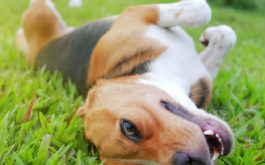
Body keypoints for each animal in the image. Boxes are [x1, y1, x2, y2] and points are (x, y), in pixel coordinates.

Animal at [16, 0, 235, 164]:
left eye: (128, 127)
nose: (189, 161)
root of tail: (33, 53)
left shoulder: (137, 15)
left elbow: (221, 30)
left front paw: (211, 35)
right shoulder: (136, 13)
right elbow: (204, 11)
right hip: (40, 12)